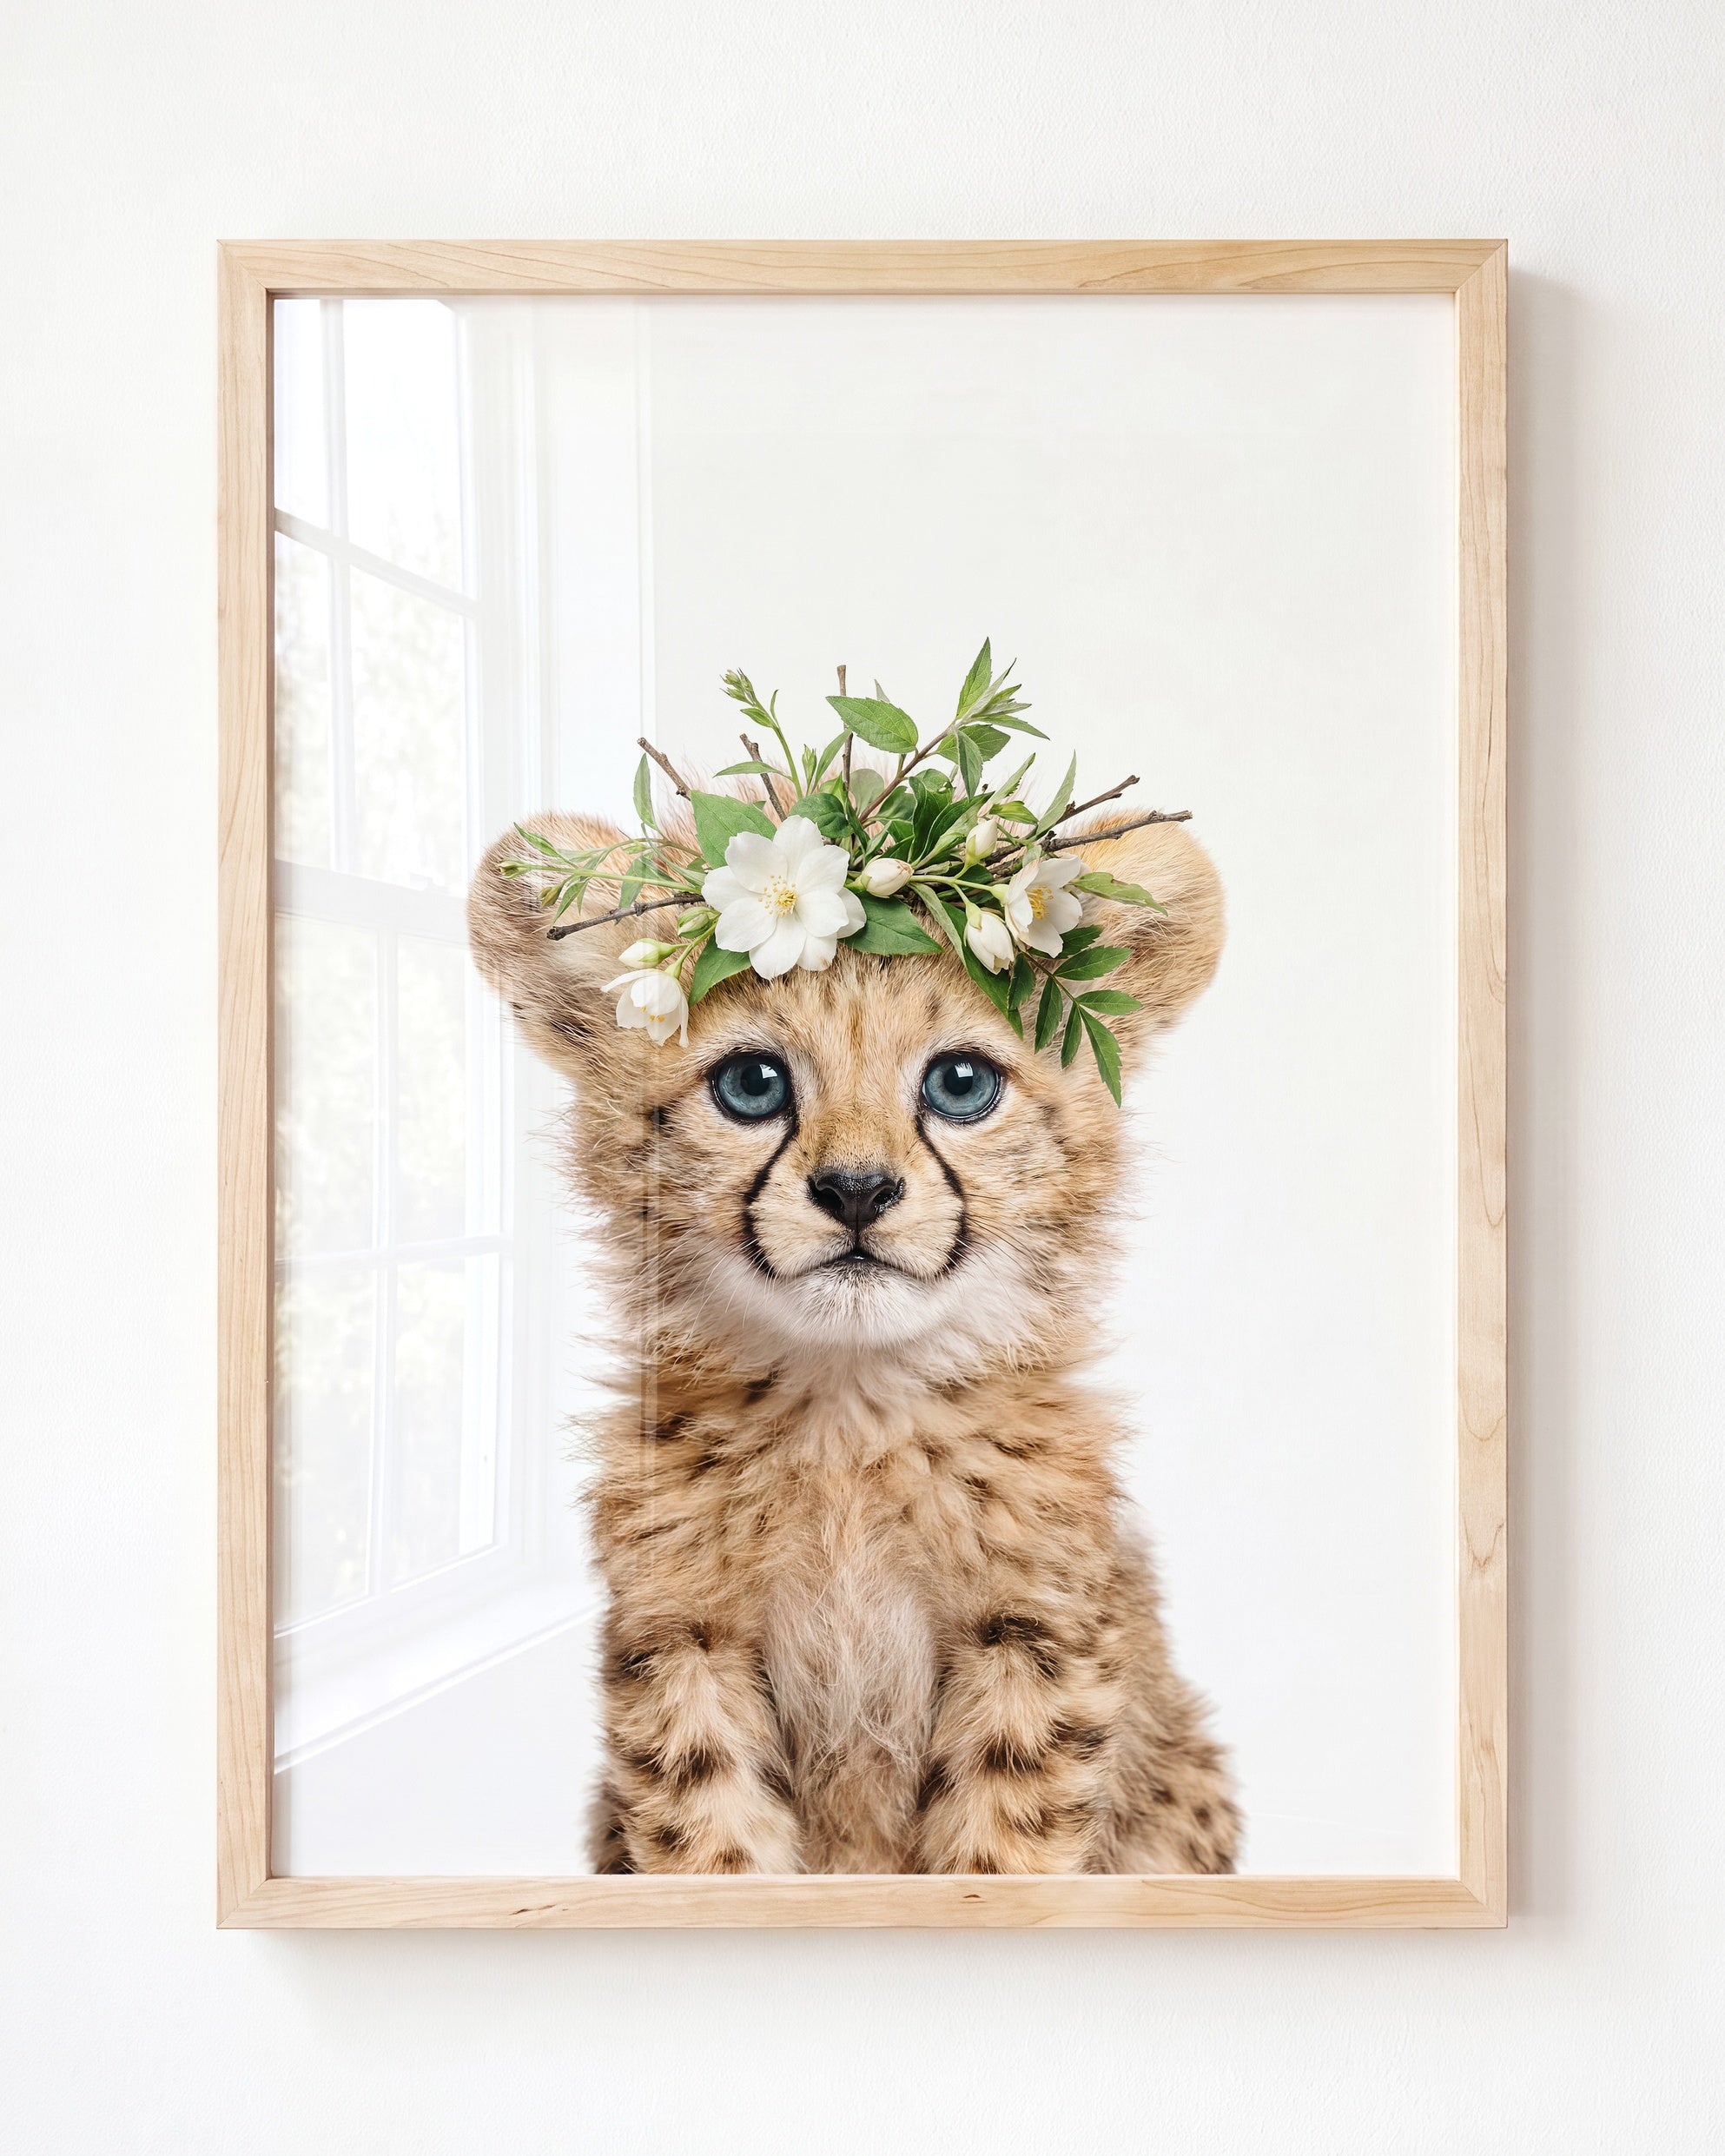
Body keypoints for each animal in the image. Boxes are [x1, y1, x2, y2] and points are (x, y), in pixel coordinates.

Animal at [468, 805, 1239, 1875]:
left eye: (961, 1083)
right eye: (753, 1083)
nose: (859, 1191)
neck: (850, 1413)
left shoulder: (1033, 1639)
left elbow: (1001, 1856)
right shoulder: (684, 1638)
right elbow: (711, 1845)